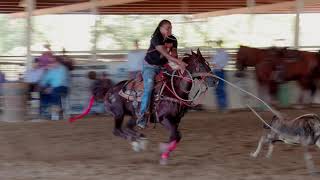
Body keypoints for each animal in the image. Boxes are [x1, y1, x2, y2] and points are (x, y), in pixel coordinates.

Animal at [70, 48, 215, 164]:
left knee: (127, 127)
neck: (175, 90)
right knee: (117, 130)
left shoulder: (176, 120)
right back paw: (136, 142)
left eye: (207, 63)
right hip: (118, 114)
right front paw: (163, 153)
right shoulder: (164, 119)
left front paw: (164, 154)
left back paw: (140, 139)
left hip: (136, 115)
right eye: (200, 65)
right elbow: (176, 135)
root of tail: (109, 90)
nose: (215, 81)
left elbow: (176, 136)